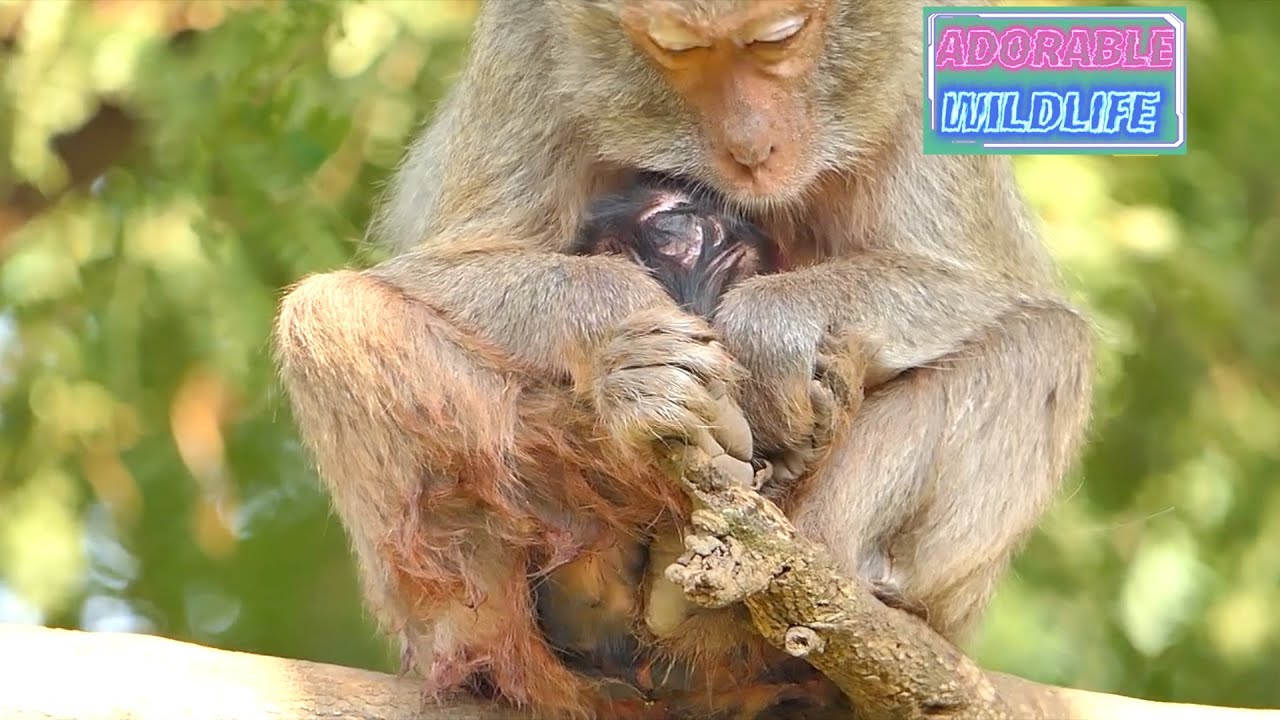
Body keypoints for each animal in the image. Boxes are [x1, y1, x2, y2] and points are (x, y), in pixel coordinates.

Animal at [273, 0, 1094, 717]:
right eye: (677, 48)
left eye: (776, 38)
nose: (752, 150)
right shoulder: (527, 44)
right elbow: (443, 267)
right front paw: (630, 359)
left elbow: (986, 283)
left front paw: (774, 329)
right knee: (328, 317)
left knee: (1048, 347)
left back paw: (853, 586)